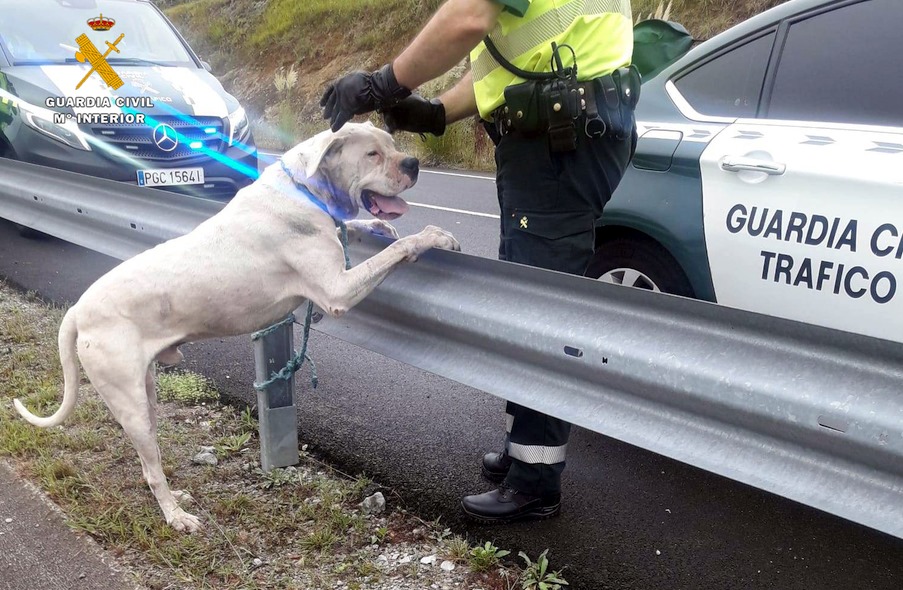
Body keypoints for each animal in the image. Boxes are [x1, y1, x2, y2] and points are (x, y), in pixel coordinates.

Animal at [15, 122, 460, 536]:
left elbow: (360, 230)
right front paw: (432, 235)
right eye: (372, 154)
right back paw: (176, 517)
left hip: (146, 391)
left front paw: (379, 227)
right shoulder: (338, 289)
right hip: (129, 403)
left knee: (148, 461)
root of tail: (77, 310)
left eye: (393, 145)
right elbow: (397, 250)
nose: (413, 163)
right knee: (151, 468)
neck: (304, 187)